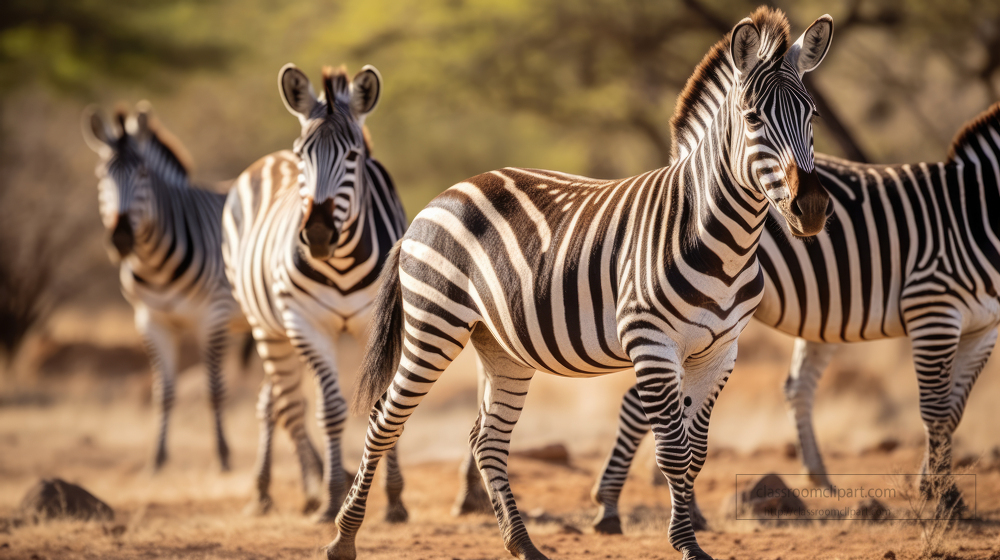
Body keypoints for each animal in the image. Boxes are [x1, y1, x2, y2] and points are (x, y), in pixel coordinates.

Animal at [83, 103, 249, 470]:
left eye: (143, 173)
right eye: (102, 175)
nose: (121, 238)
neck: (155, 265)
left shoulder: (213, 316)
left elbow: (213, 390)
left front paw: (223, 456)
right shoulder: (150, 320)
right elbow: (164, 393)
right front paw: (157, 459)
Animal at [224, 64, 410, 520]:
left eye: (353, 155)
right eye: (301, 155)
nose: (319, 235)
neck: (340, 261)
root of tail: (264, 161)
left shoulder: (383, 323)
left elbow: (383, 400)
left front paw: (395, 499)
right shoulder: (307, 323)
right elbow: (330, 410)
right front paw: (331, 497)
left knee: (271, 399)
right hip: (268, 327)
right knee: (282, 404)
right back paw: (273, 491)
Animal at [330, 6, 836, 556]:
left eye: (812, 116)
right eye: (752, 119)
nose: (811, 208)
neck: (715, 236)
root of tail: (439, 198)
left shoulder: (720, 352)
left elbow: (696, 454)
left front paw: (691, 539)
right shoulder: (652, 343)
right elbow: (673, 453)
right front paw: (685, 543)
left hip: (501, 345)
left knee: (487, 439)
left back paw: (523, 544)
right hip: (433, 326)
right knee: (383, 419)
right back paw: (343, 537)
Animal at [588, 91, 1000, 532]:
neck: (976, 212)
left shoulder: (985, 326)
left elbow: (954, 409)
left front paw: (939, 491)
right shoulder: (932, 304)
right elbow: (937, 411)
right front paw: (945, 500)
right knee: (647, 405)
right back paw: (625, 506)